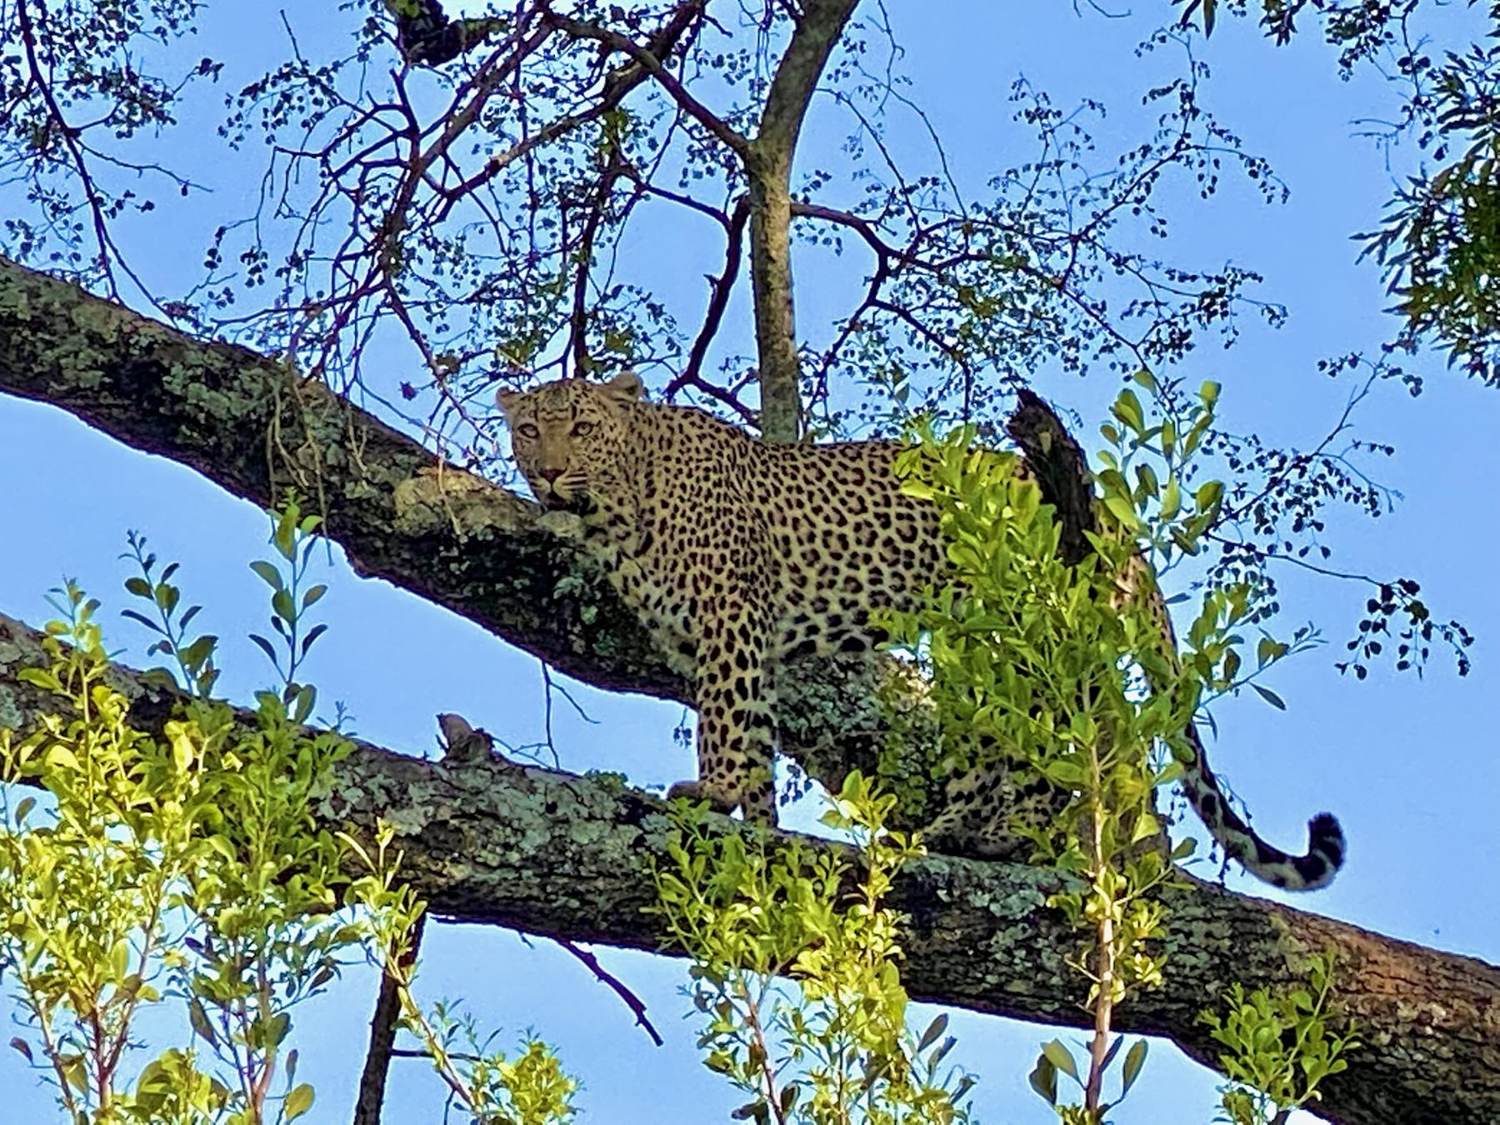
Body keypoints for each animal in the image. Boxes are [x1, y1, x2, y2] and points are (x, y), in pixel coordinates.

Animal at [498, 371, 1346, 891]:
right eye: (530, 431)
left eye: (580, 426)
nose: (548, 473)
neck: (618, 508)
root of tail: (1112, 520)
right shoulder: (733, 644)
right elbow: (756, 736)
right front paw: (759, 821)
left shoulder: (731, 619)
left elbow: (724, 724)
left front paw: (712, 794)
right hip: (973, 646)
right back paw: (950, 831)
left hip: (1027, 626)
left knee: (1064, 746)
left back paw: (1002, 834)